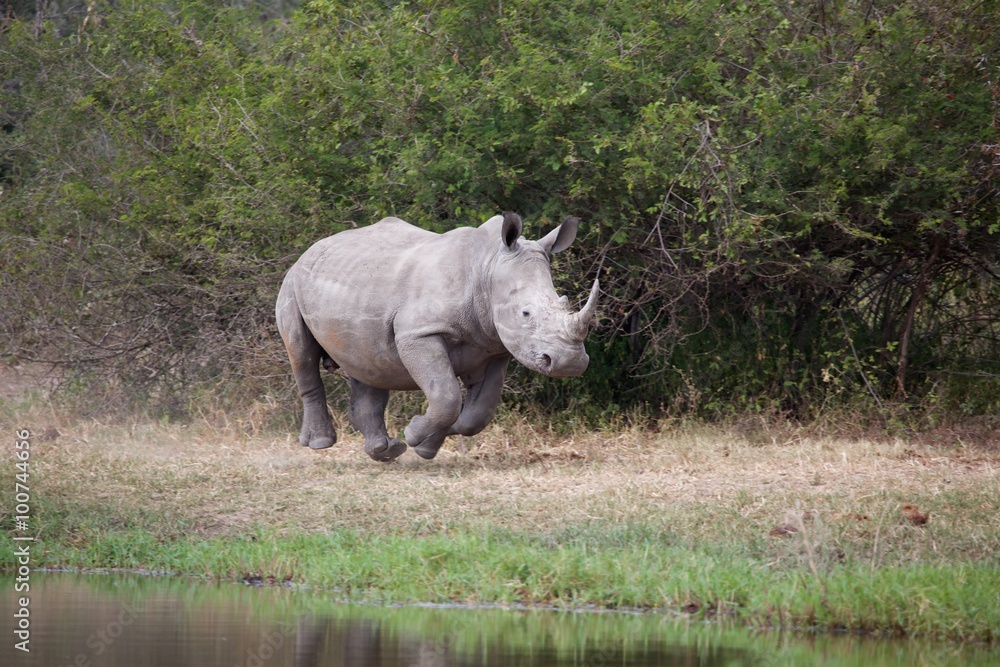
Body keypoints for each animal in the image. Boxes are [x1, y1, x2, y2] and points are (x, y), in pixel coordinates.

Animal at [275, 212, 599, 462]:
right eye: (525, 313)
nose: (569, 363)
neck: (487, 265)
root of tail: (311, 249)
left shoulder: (495, 346)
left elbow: (478, 413)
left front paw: (427, 445)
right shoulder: (419, 333)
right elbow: (446, 395)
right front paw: (415, 434)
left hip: (358, 287)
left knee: (368, 365)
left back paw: (385, 451)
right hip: (292, 282)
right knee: (302, 354)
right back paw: (322, 443)